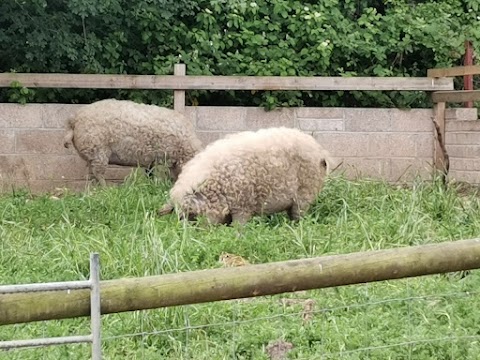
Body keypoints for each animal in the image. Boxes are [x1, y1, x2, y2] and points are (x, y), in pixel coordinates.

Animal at [63, 98, 202, 186]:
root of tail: (74, 119)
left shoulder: (152, 159)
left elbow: (150, 173)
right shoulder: (162, 156)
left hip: (91, 153)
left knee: (90, 174)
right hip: (98, 150)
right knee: (98, 173)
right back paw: (107, 188)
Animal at [159, 127, 332, 225]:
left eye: (192, 215)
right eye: (180, 217)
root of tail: (320, 150)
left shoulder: (243, 205)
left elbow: (239, 226)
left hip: (305, 192)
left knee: (298, 215)